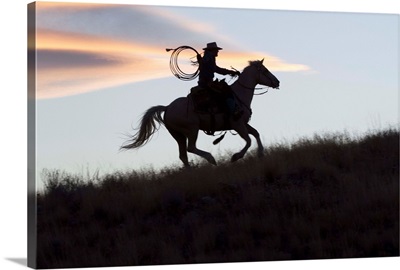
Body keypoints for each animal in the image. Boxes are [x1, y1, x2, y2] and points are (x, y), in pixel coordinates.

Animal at [120, 59, 280, 167]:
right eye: (265, 70)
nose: (277, 82)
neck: (239, 95)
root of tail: (167, 108)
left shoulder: (243, 124)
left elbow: (256, 134)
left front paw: (261, 153)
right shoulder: (237, 124)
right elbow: (248, 140)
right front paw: (236, 157)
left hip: (178, 135)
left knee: (183, 155)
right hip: (192, 130)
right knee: (191, 148)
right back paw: (211, 159)